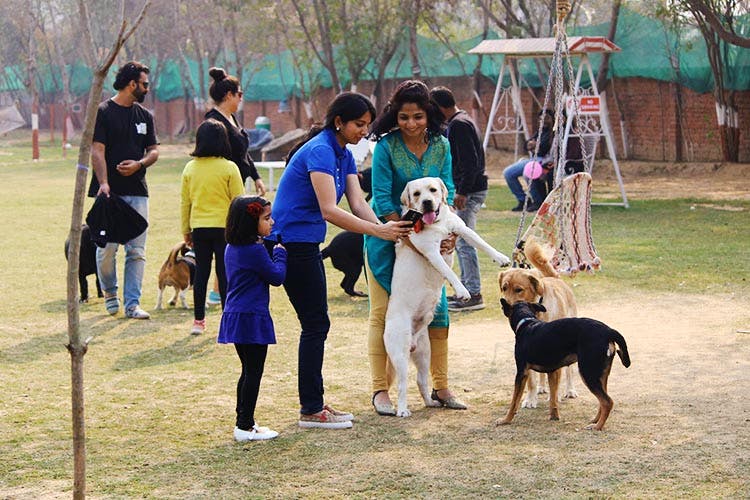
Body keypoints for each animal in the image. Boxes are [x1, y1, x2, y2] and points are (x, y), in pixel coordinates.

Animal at [384, 178, 516, 416]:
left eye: (433, 190)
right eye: (416, 194)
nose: (427, 202)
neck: (437, 223)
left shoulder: (461, 229)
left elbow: (482, 243)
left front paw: (500, 257)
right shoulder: (432, 252)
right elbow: (450, 273)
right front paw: (463, 291)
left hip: (424, 353)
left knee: (421, 380)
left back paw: (431, 401)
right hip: (400, 353)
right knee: (401, 384)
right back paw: (402, 409)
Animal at [500, 238, 580, 410]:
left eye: (518, 289)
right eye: (504, 287)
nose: (504, 304)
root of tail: (555, 278)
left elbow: (557, 380)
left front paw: (555, 397)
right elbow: (531, 380)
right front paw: (530, 398)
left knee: (569, 371)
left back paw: (570, 390)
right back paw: (542, 387)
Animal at [500, 298, 636, 432]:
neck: (526, 324)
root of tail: (608, 330)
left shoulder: (521, 373)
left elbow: (514, 401)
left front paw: (505, 420)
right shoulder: (552, 372)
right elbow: (553, 399)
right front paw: (554, 416)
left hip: (588, 373)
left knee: (607, 402)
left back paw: (598, 427)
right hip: (600, 375)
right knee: (602, 401)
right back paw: (596, 420)